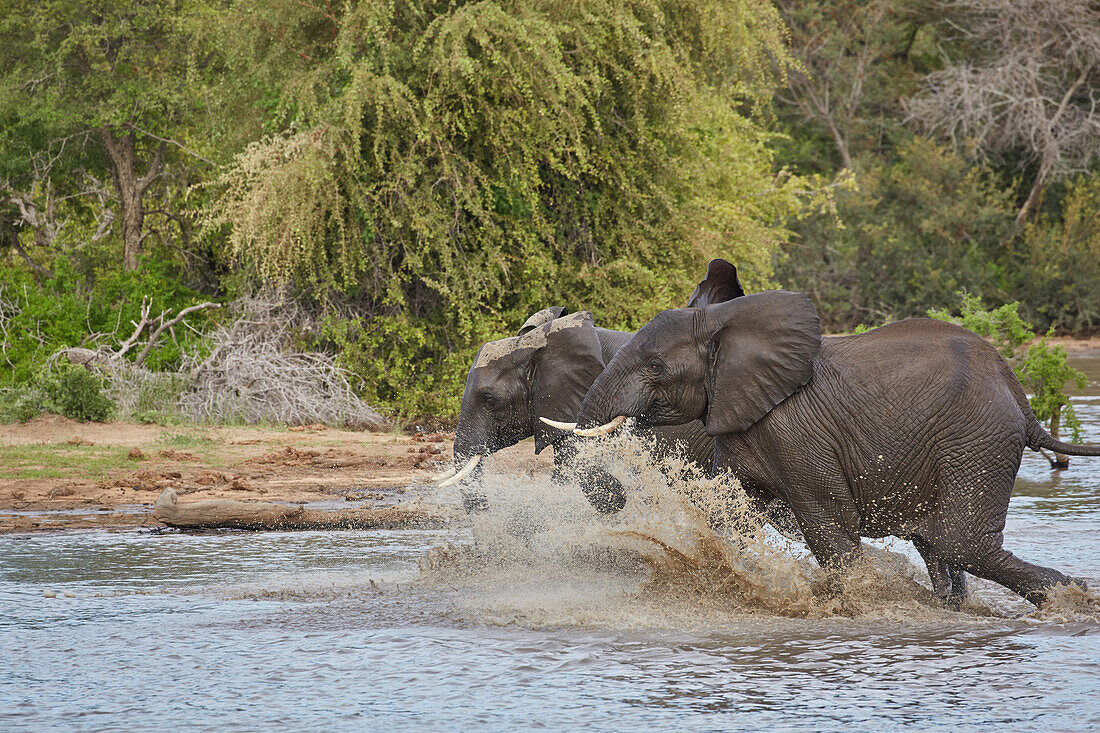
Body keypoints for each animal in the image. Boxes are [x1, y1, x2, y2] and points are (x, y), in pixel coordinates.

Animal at [572, 263, 1095, 603]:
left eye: (655, 367)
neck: (727, 325)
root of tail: (1020, 397)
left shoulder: (796, 433)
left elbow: (831, 528)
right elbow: (728, 512)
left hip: (977, 438)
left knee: (960, 543)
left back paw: (1072, 597)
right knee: (938, 546)